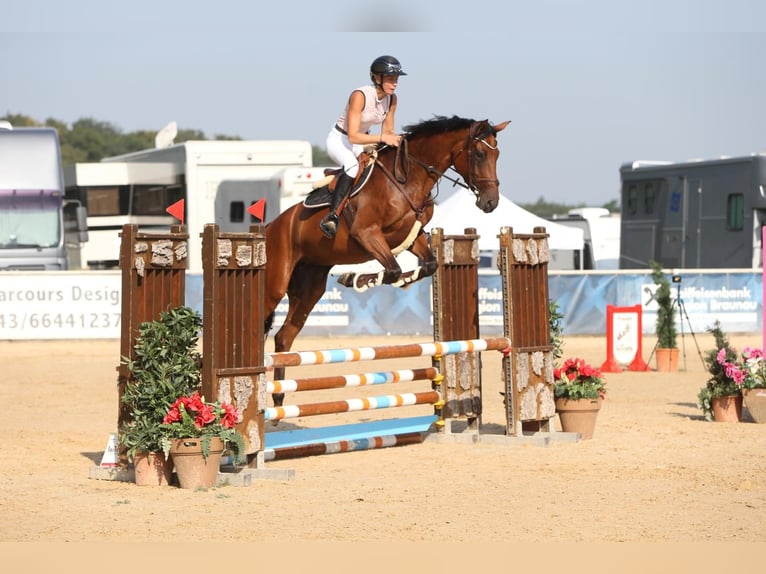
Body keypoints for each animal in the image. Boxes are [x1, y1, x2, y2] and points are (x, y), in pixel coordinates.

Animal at [263, 115, 510, 407]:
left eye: (498, 154)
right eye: (481, 153)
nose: (491, 203)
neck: (406, 180)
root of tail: (269, 227)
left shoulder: (413, 237)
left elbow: (425, 266)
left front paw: (383, 280)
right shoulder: (367, 233)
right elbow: (392, 269)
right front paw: (356, 279)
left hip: (310, 285)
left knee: (284, 336)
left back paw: (278, 398)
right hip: (276, 283)